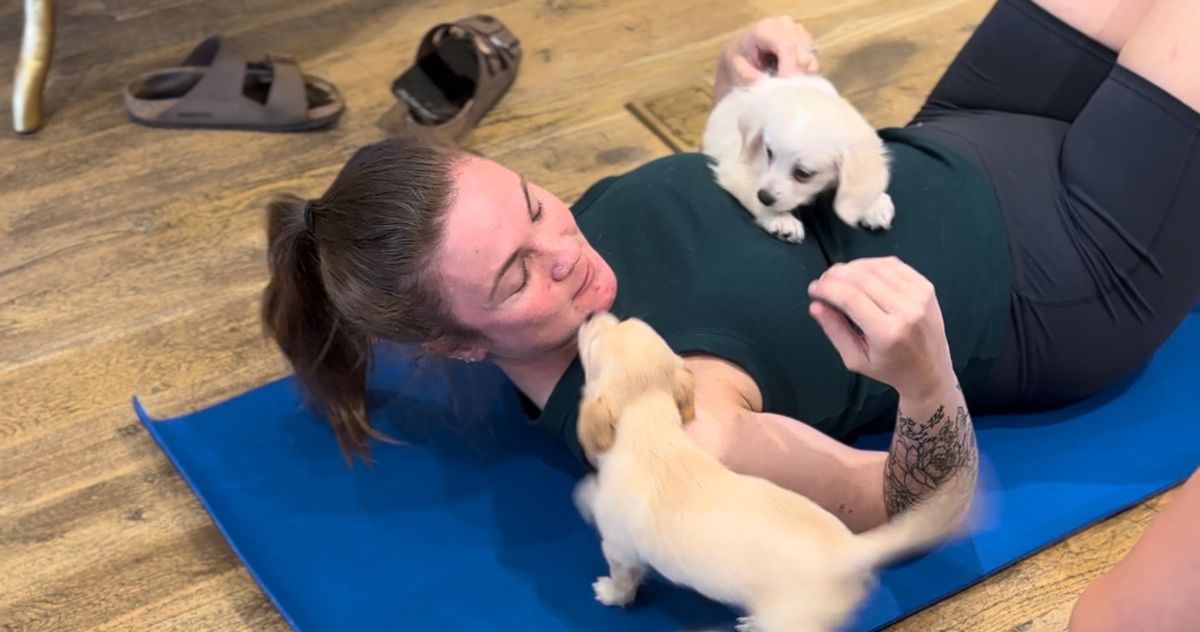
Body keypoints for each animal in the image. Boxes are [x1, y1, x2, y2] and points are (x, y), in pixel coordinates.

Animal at [571, 314, 974, 628]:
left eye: (593, 344)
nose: (592, 314)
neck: (651, 425)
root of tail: (851, 549)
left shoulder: (618, 548)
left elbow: (623, 578)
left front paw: (609, 591)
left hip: (789, 619)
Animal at [700, 72, 897, 243]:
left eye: (803, 174)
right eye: (768, 152)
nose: (764, 197)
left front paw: (874, 204)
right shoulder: (733, 168)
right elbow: (751, 191)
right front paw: (780, 219)